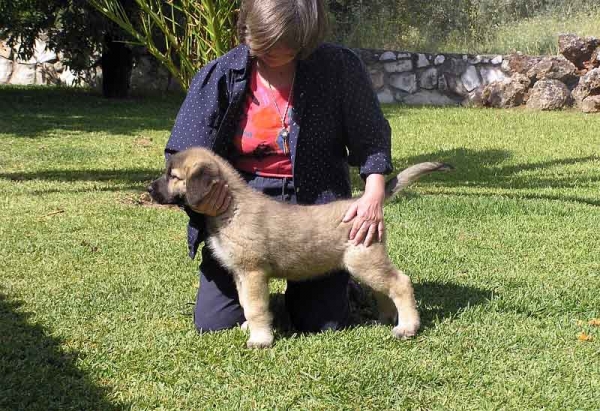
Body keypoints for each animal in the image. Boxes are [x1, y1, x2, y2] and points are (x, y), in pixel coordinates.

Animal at [149, 148, 450, 348]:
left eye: (173, 176)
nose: (149, 190)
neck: (231, 208)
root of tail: (362, 204)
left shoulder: (253, 272)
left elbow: (256, 307)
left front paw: (260, 339)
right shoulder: (240, 274)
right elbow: (245, 304)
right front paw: (250, 328)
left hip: (364, 261)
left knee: (400, 283)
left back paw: (407, 327)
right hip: (367, 263)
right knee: (384, 289)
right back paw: (387, 318)